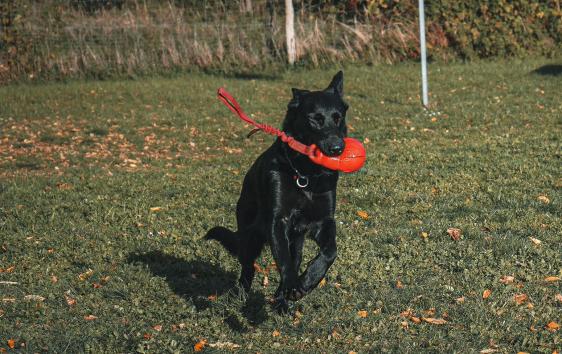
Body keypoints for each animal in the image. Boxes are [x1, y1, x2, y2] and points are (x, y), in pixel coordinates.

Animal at [203, 72, 348, 312]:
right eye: (315, 119)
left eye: (338, 118)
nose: (337, 149)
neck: (306, 175)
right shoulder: (277, 221)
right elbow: (284, 263)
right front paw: (292, 285)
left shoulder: (324, 221)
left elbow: (330, 252)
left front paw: (308, 280)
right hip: (250, 235)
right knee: (248, 267)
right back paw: (240, 295)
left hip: (296, 242)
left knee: (294, 259)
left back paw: (282, 300)